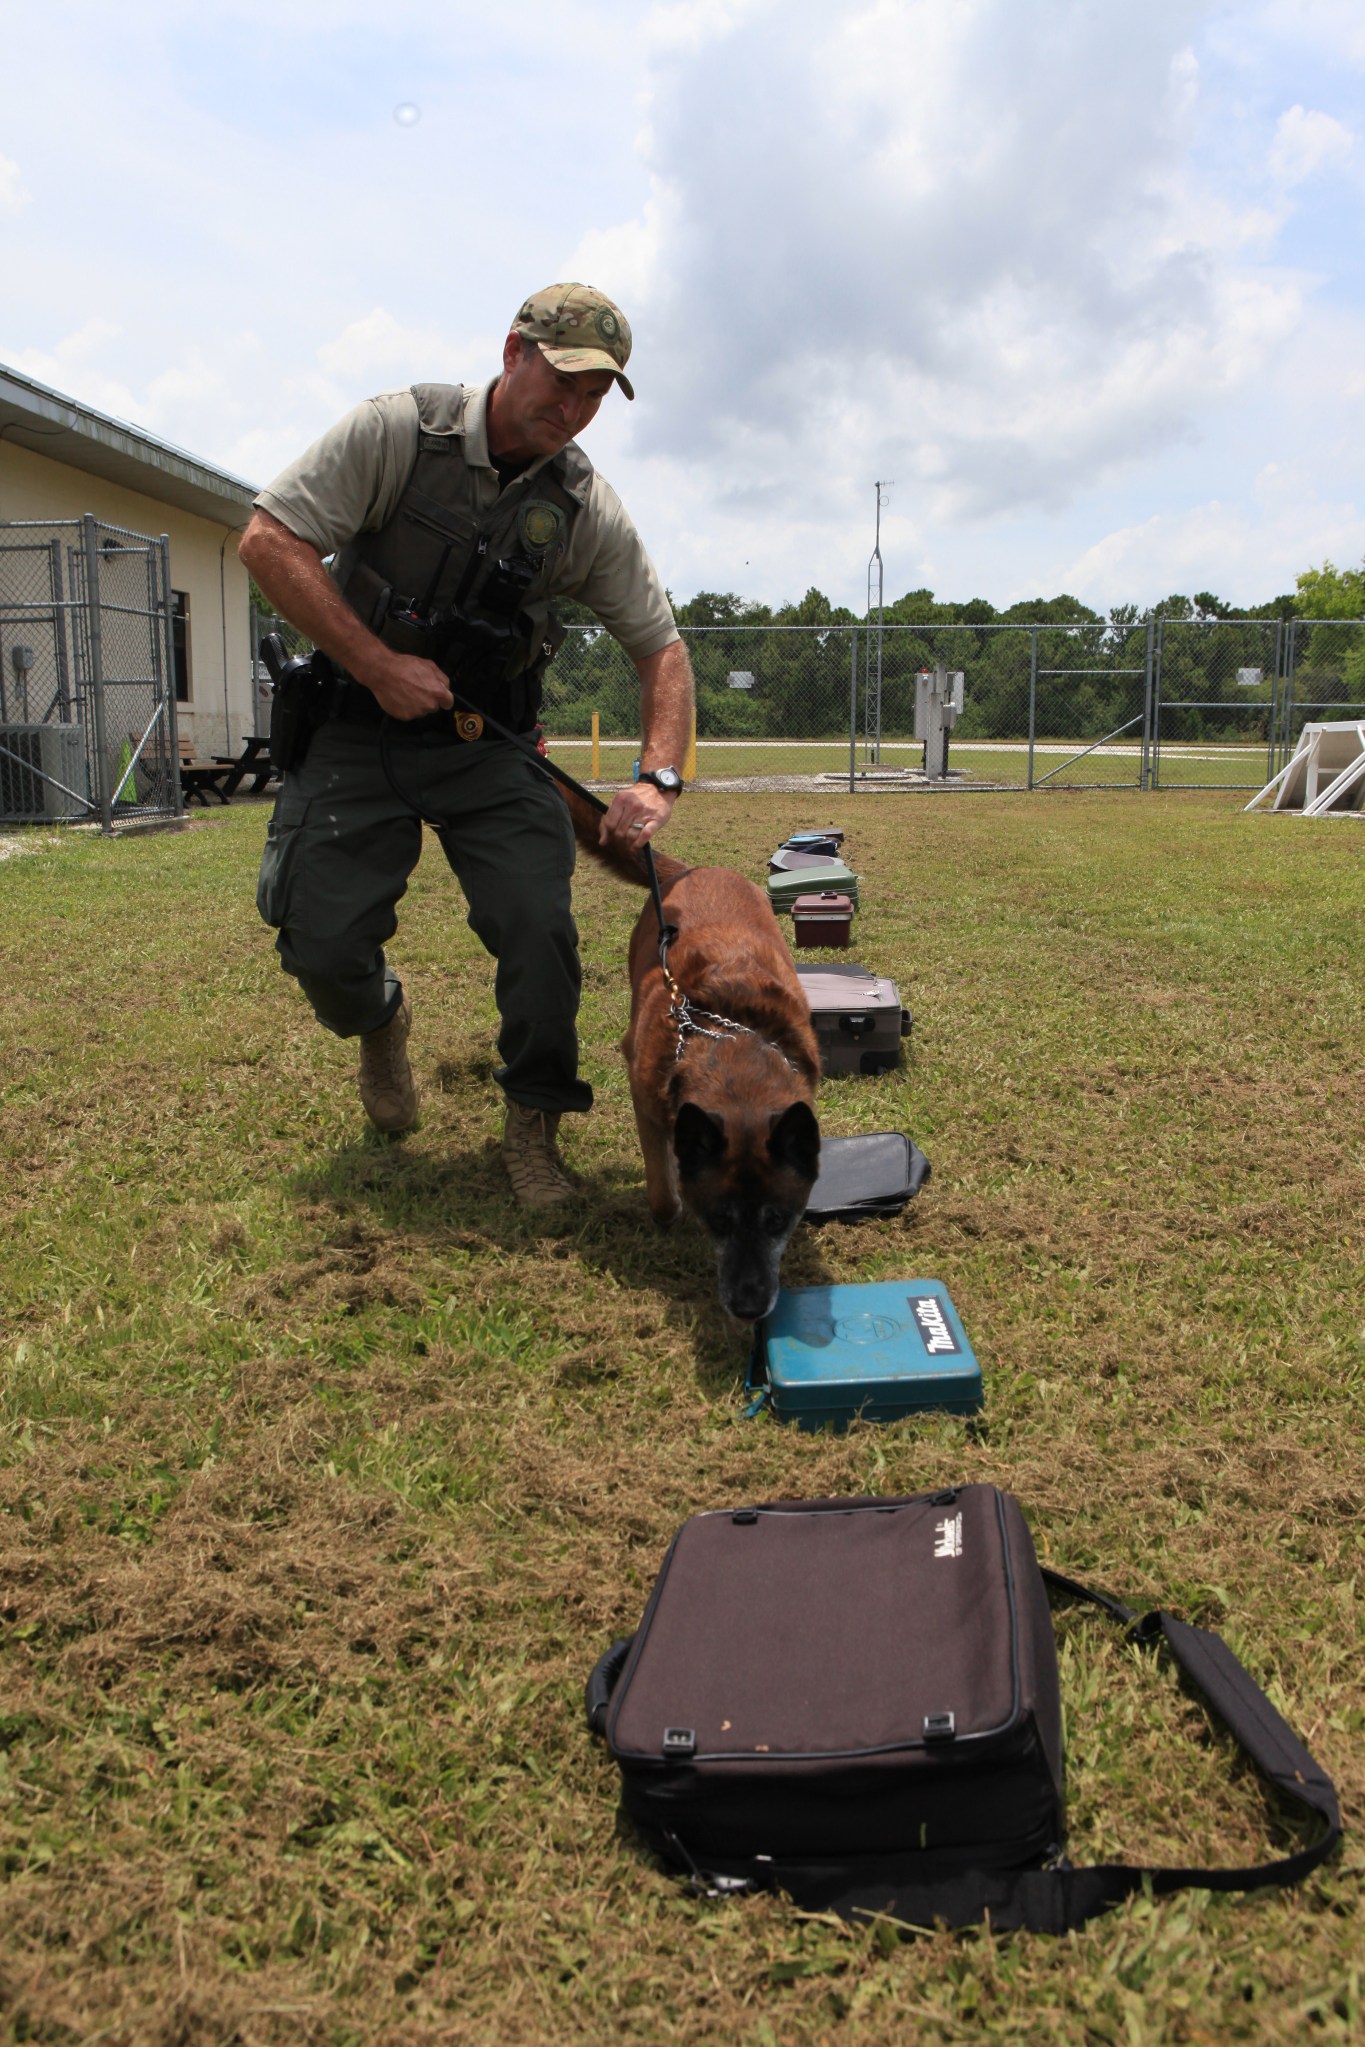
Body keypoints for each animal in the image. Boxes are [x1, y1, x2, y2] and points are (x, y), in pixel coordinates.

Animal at [556, 781, 818, 1326]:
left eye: (777, 1219)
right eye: (718, 1219)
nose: (749, 1307)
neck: (731, 1038)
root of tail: (692, 870)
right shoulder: (646, 1101)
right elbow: (661, 1190)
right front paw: (670, 1206)